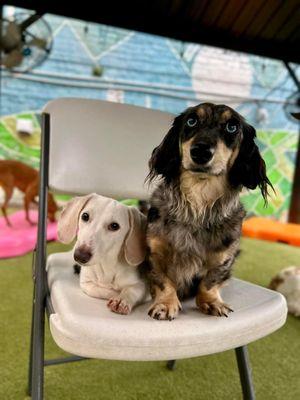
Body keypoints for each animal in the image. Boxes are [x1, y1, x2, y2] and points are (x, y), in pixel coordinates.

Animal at [145, 104, 272, 322]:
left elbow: (211, 281)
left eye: (232, 127)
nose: (201, 151)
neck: (197, 205)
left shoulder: (224, 258)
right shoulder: (154, 253)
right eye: (191, 121)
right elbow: (163, 280)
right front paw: (165, 303)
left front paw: (211, 302)